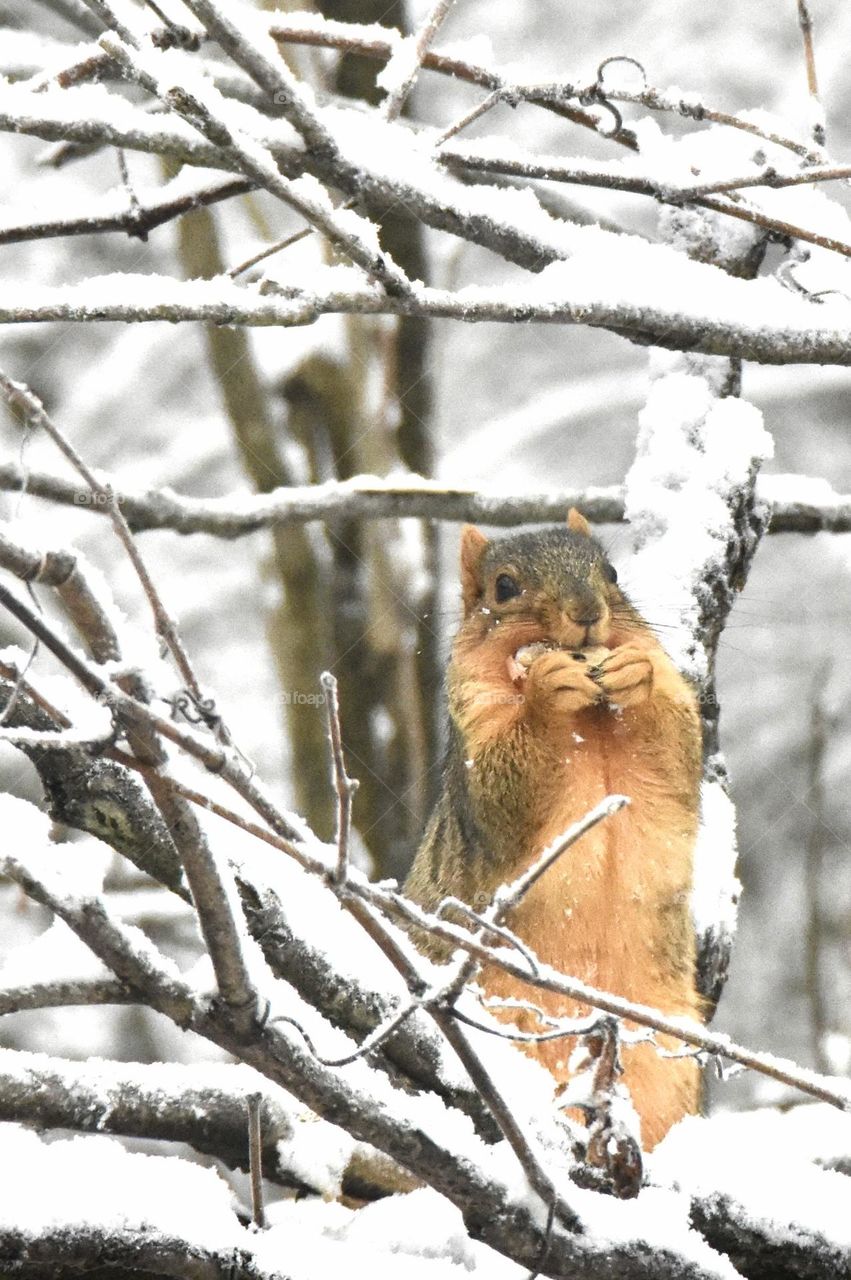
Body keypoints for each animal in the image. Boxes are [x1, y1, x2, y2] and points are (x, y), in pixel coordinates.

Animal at [404, 506, 701, 1152]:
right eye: (503, 589)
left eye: (611, 573)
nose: (587, 613)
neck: (590, 721)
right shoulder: (477, 749)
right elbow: (503, 789)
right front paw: (548, 689)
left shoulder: (674, 751)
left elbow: (676, 750)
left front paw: (635, 674)